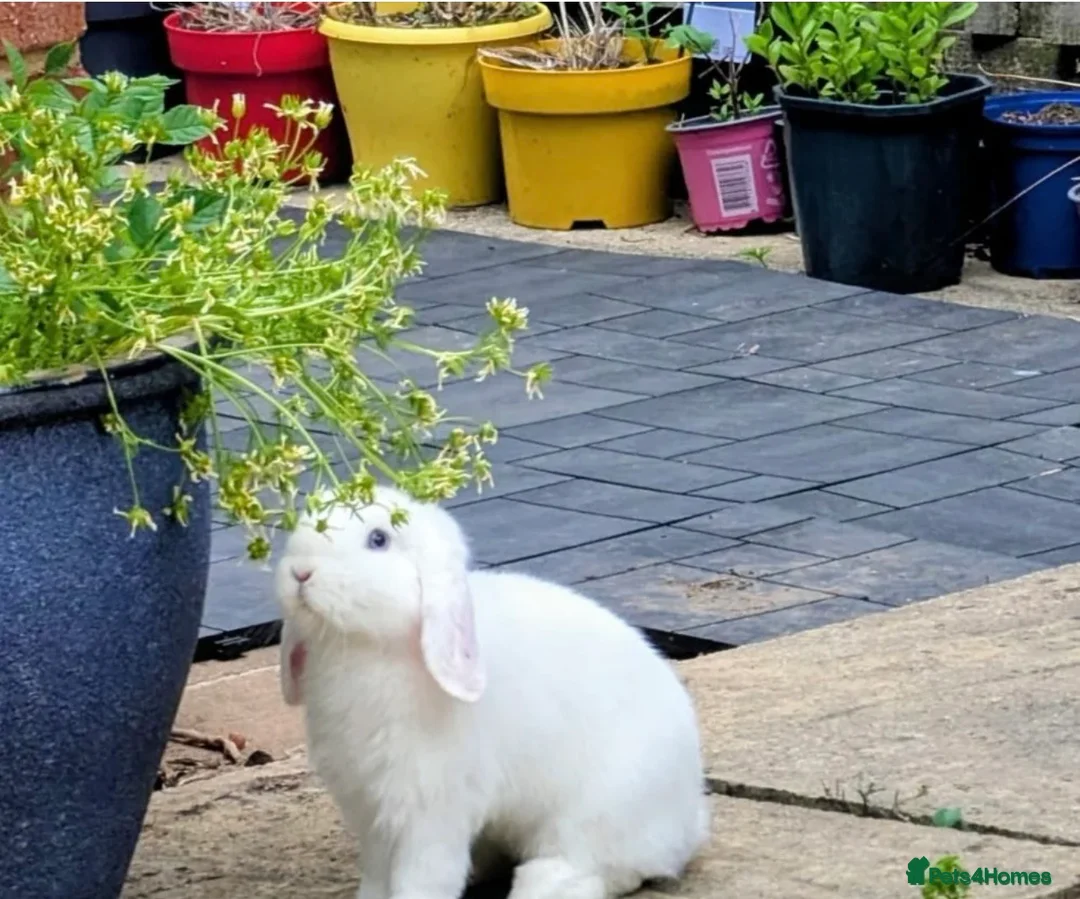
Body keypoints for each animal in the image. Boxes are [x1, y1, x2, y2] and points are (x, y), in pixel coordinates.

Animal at [276, 484, 710, 899]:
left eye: (379, 538)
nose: (300, 572)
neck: (368, 649)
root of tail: (690, 819)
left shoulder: (431, 807)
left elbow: (423, 875)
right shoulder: (371, 812)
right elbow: (378, 874)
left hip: (600, 809)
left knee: (607, 866)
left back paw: (541, 885)